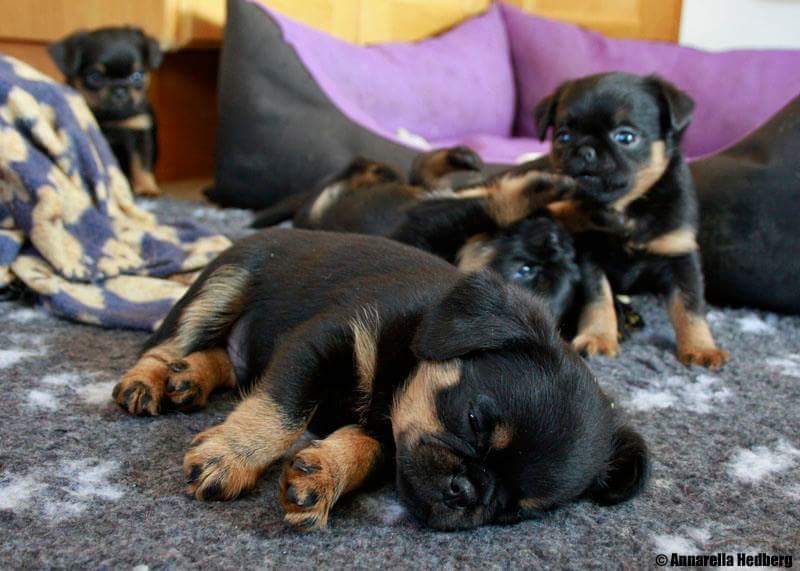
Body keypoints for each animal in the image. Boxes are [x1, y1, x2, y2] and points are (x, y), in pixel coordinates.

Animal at [49, 27, 163, 196]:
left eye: (137, 77)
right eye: (95, 77)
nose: (119, 91)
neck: (111, 118)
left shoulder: (139, 132)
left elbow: (141, 164)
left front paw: (146, 187)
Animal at [112, 228, 649, 531]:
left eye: (513, 510)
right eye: (474, 420)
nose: (467, 490)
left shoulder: (389, 436)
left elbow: (362, 448)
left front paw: (323, 475)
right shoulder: (320, 343)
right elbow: (283, 411)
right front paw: (232, 458)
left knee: (225, 358)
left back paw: (190, 377)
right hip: (225, 284)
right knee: (168, 341)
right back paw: (150, 381)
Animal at [533, 72, 728, 369]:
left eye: (625, 137)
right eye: (563, 136)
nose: (585, 150)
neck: (625, 210)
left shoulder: (680, 254)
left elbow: (690, 305)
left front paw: (700, 347)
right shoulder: (590, 256)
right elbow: (598, 300)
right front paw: (598, 337)